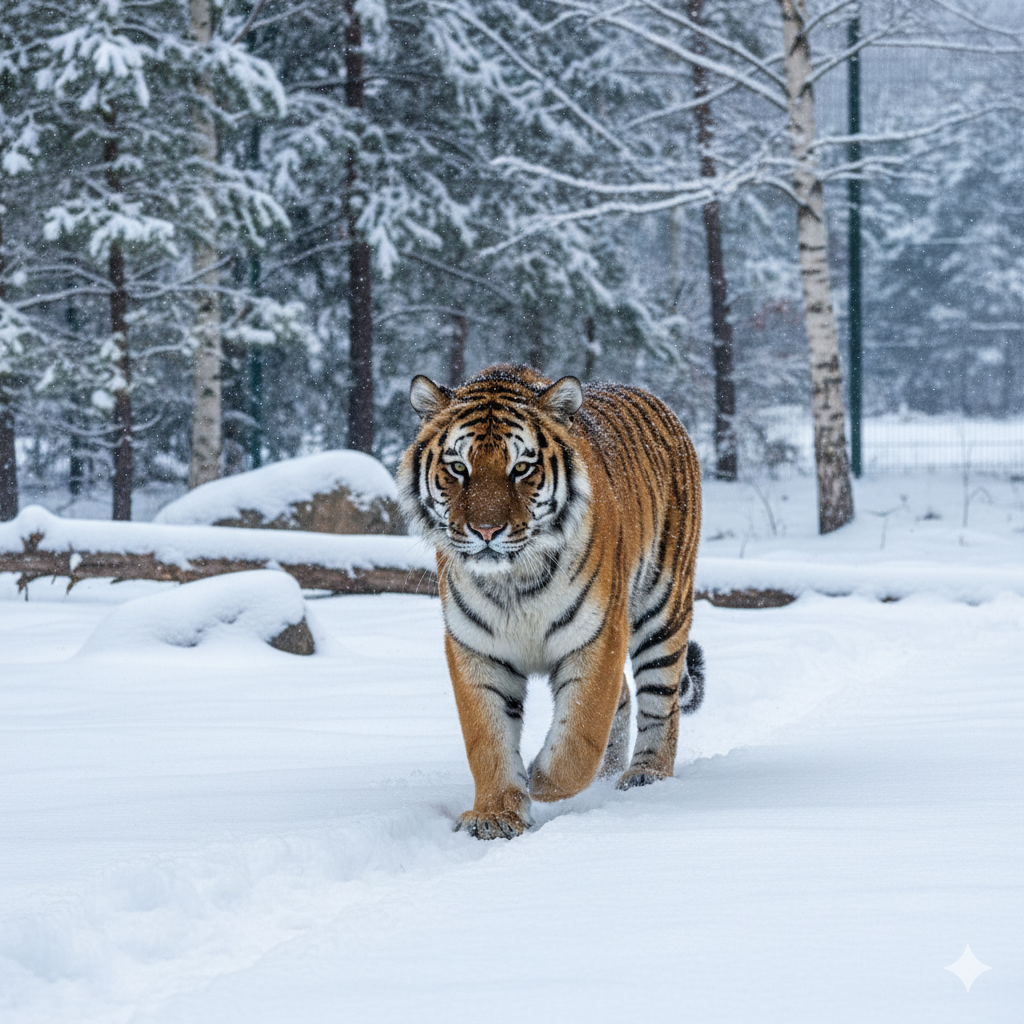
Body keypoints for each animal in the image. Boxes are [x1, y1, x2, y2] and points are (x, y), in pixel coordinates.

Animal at [397, 364, 704, 840]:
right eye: (458, 467)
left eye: (521, 468)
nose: (486, 530)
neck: (513, 581)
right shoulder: (476, 648)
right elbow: (487, 738)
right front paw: (496, 815)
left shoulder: (598, 635)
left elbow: (580, 733)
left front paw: (539, 780)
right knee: (625, 700)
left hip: (663, 611)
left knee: (660, 702)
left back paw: (645, 777)